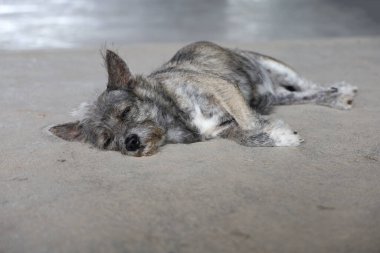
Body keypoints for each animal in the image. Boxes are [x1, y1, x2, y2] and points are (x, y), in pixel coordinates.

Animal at [49, 41, 358, 156]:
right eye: (106, 140)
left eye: (125, 111)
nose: (131, 143)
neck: (175, 118)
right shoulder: (221, 128)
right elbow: (242, 134)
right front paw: (276, 135)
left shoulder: (225, 89)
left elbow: (248, 125)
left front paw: (276, 134)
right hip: (280, 98)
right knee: (310, 94)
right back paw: (335, 97)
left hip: (277, 68)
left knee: (308, 83)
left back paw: (342, 90)